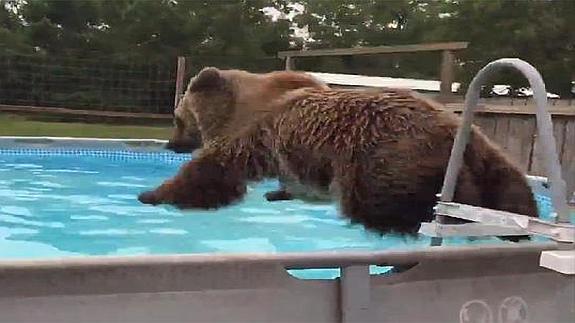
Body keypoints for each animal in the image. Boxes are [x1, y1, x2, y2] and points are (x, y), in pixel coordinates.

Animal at [141, 86, 540, 237]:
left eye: (178, 119)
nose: (170, 143)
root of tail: (458, 130)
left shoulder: (260, 137)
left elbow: (214, 171)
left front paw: (156, 194)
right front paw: (279, 193)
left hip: (383, 158)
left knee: (382, 203)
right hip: (488, 161)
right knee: (509, 191)